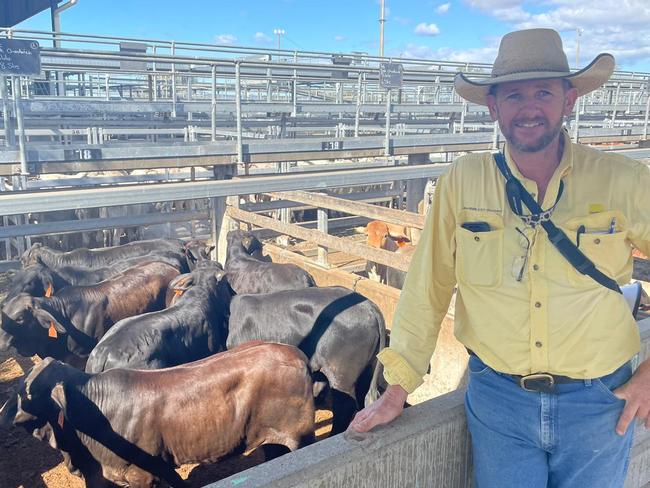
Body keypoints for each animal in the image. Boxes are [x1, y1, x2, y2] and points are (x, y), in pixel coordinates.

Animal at [0, 344, 314, 488]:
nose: (6, 416)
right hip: (273, 440)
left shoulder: (141, 475)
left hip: (300, 438)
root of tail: (298, 355)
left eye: (28, 392)